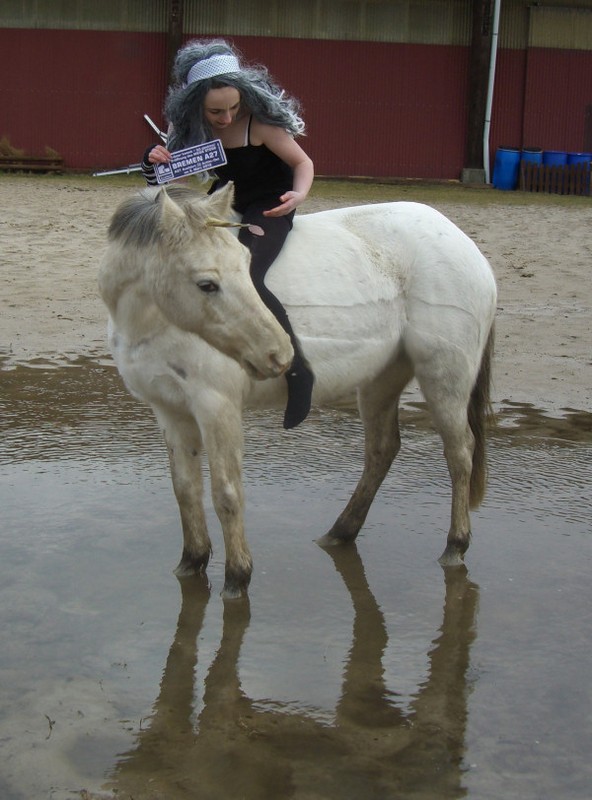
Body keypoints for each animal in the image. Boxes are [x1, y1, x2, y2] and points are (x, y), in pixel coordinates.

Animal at [98, 182, 497, 599]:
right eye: (207, 284)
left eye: (246, 263)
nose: (279, 353)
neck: (151, 322)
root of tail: (467, 248)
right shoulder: (170, 411)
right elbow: (186, 490)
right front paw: (191, 565)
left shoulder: (216, 407)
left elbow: (227, 494)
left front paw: (237, 579)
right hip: (381, 378)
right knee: (382, 450)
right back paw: (340, 532)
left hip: (444, 377)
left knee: (460, 454)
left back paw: (455, 546)